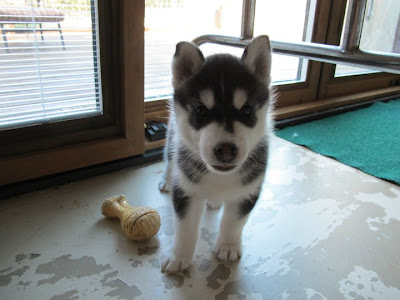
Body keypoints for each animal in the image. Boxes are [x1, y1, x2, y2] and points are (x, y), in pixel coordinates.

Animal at [159, 35, 276, 274]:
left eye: (246, 110)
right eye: (201, 110)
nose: (226, 150)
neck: (220, 177)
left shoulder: (248, 191)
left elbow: (234, 221)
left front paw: (227, 247)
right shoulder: (186, 190)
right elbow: (185, 227)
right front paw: (178, 257)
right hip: (172, 136)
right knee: (169, 158)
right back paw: (167, 179)